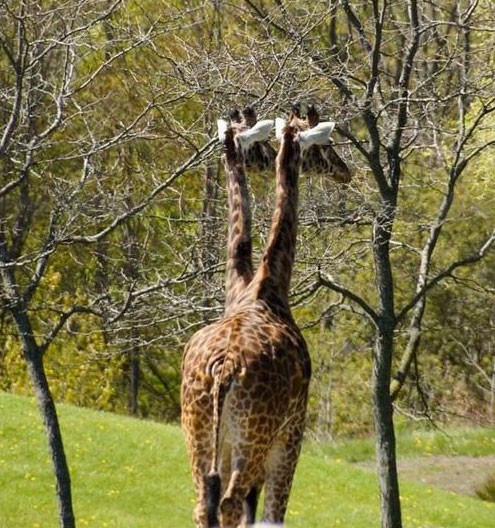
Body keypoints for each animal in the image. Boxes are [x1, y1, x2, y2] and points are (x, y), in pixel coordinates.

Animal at [182, 108, 340, 528]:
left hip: (199, 431)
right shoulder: (292, 433)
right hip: (254, 438)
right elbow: (272, 516)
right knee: (231, 503)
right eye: (324, 145)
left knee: (204, 504)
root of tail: (223, 369)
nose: (344, 171)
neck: (263, 288)